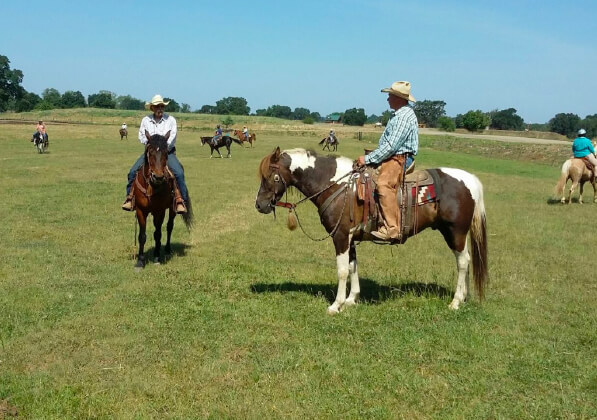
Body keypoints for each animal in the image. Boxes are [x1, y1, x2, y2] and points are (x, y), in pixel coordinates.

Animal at [133, 130, 193, 270]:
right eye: (150, 150)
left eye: (166, 152)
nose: (158, 177)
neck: (151, 186)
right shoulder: (140, 210)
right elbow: (142, 236)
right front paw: (140, 261)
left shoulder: (159, 212)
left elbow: (157, 234)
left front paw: (156, 257)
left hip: (172, 209)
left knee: (169, 226)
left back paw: (167, 249)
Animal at [254, 148, 486, 316]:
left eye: (272, 177)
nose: (260, 205)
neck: (336, 184)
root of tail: (470, 180)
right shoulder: (350, 237)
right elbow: (353, 266)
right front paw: (351, 299)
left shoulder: (340, 236)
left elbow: (342, 270)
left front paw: (336, 305)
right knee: (466, 261)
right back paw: (463, 297)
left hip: (455, 232)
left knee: (463, 262)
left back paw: (455, 301)